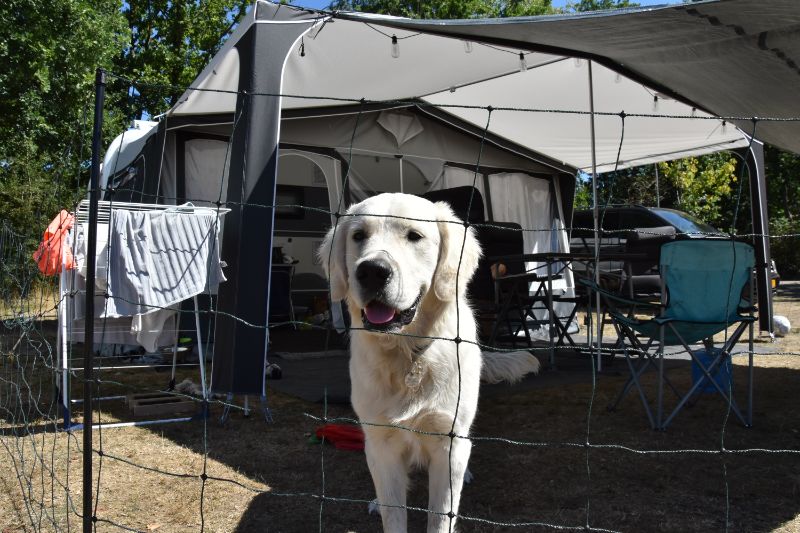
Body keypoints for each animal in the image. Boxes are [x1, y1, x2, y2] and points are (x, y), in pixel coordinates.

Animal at [318, 193, 536, 528]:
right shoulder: (381, 443)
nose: (372, 271)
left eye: (414, 236)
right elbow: (393, 513)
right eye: (358, 236)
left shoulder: (449, 442)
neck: (407, 353)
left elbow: (441, 516)